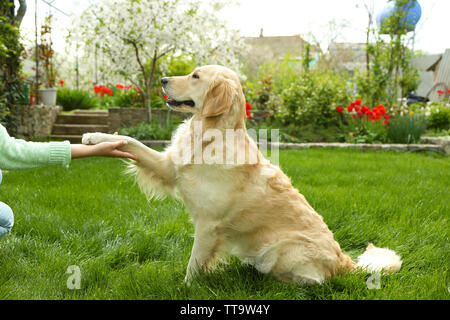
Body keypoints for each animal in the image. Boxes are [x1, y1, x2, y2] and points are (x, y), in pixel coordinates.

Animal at [82, 65, 402, 284]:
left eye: (195, 76)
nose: (162, 80)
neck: (208, 135)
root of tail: (344, 261)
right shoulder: (169, 167)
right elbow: (130, 141)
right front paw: (94, 137)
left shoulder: (208, 225)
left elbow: (194, 264)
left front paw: (185, 286)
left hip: (282, 249)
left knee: (311, 280)